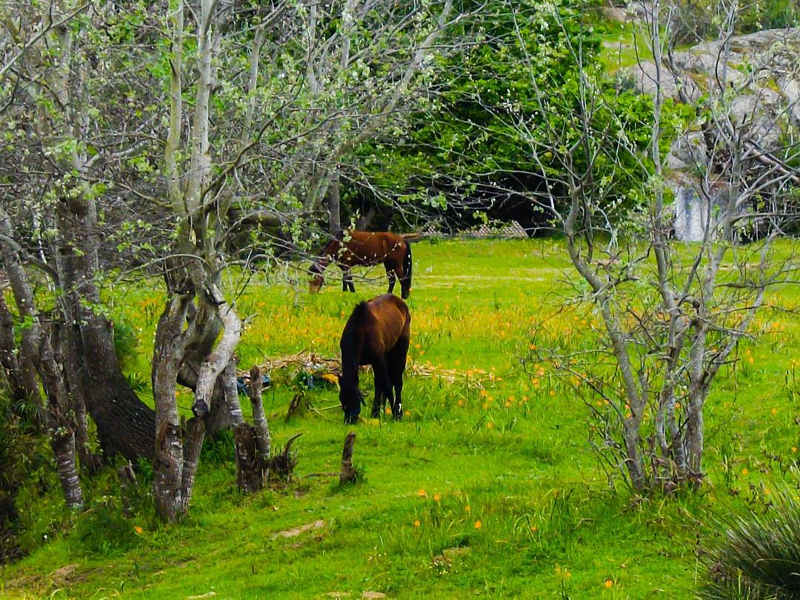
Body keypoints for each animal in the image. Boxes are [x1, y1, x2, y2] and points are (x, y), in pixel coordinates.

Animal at [340, 292, 412, 424]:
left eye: (354, 400)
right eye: (343, 402)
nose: (349, 420)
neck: (361, 331)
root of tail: (401, 303)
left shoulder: (378, 359)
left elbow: (387, 385)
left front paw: (395, 414)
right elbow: (380, 384)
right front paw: (377, 412)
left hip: (400, 351)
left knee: (397, 382)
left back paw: (398, 411)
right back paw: (379, 410)